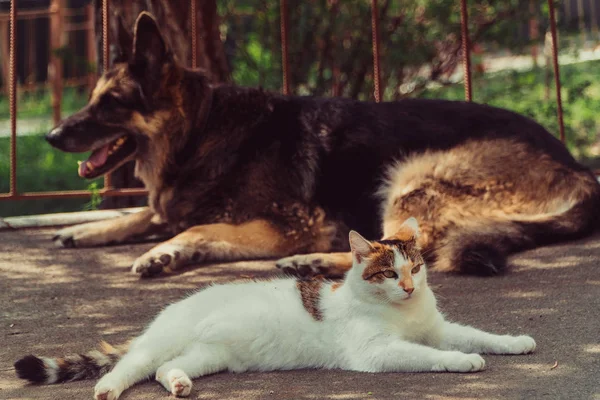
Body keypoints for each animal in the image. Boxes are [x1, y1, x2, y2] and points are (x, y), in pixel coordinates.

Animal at [16, 219, 536, 400]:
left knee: (166, 370)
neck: (404, 314)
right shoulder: (378, 352)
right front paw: (463, 363)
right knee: (130, 365)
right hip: (159, 343)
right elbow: (433, 356)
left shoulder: (437, 328)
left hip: (207, 356)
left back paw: (180, 385)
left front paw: (515, 342)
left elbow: (477, 334)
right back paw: (107, 389)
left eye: (417, 268)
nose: (409, 288)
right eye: (390, 274)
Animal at [45, 10, 600, 276]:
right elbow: (152, 214)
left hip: (411, 178)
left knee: (411, 251)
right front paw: (88, 229)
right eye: (91, 98)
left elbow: (192, 227)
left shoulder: (299, 224)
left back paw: (314, 262)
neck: (203, 129)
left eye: (111, 103)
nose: (51, 136)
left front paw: (161, 252)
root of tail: (576, 168)